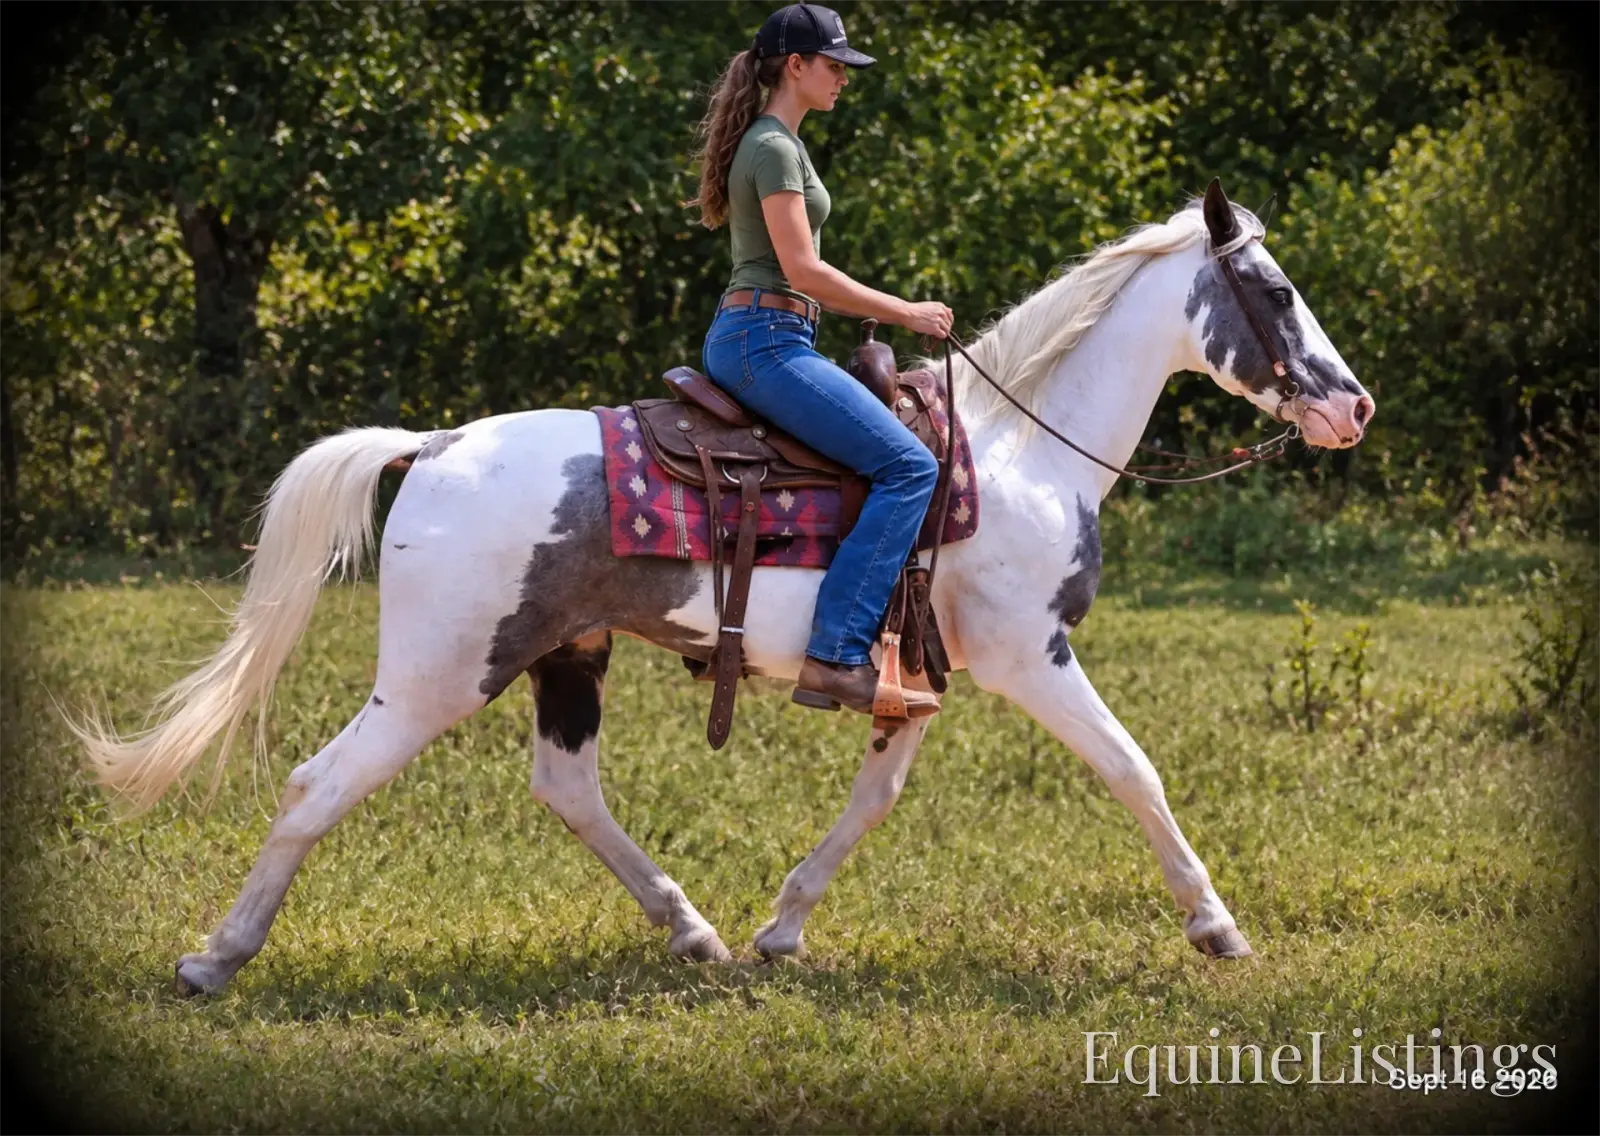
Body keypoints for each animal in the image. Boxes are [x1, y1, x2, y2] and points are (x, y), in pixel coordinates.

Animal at [71, 180, 1374, 995]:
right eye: (1276, 292)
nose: (1351, 404)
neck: (1015, 453)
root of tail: (433, 446)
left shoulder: (920, 671)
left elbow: (873, 798)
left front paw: (780, 924)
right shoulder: (1030, 656)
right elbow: (1132, 767)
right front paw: (1216, 924)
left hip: (567, 655)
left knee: (565, 785)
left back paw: (689, 928)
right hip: (440, 672)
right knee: (315, 783)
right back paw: (215, 956)